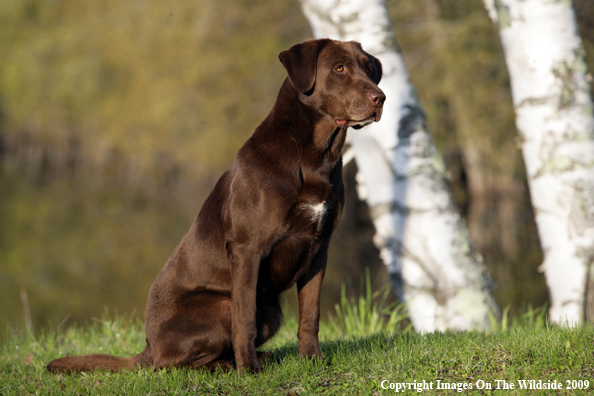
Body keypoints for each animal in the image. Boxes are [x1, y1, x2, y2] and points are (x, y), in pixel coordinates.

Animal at [48, 39, 386, 374]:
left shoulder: (319, 249)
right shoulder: (248, 249)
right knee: (172, 363)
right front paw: (248, 369)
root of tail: (148, 346)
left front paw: (312, 359)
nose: (380, 98)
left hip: (272, 310)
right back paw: (229, 365)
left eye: (369, 68)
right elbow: (244, 320)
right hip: (221, 305)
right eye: (339, 68)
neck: (314, 156)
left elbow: (310, 315)